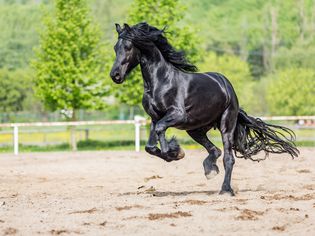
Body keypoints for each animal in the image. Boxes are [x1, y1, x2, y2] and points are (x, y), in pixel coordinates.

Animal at [110, 22, 298, 195]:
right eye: (115, 48)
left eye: (128, 47)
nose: (115, 75)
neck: (161, 81)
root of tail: (226, 86)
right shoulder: (154, 118)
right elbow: (150, 145)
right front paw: (175, 152)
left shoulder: (177, 115)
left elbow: (160, 130)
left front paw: (173, 152)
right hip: (195, 129)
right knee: (215, 150)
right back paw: (210, 170)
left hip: (225, 125)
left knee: (228, 158)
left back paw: (225, 189)